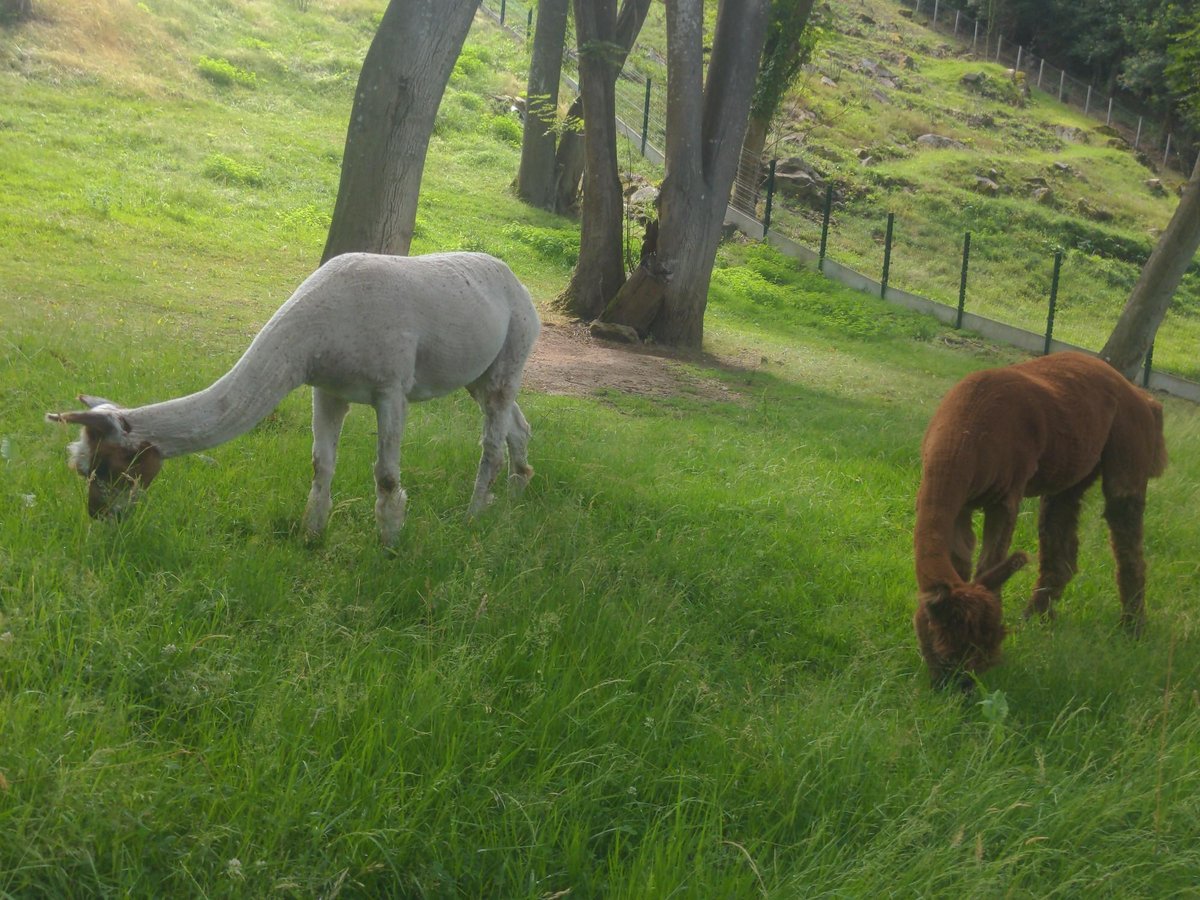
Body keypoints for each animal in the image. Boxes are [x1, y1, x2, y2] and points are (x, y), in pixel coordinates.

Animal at [47, 252, 541, 546]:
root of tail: (519, 284)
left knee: (491, 443)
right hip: (479, 374)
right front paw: (312, 536)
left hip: (511, 353)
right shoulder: (328, 388)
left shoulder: (391, 387)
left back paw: (474, 516)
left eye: (108, 467)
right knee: (518, 425)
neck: (316, 332)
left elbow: (385, 476)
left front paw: (389, 543)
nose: (98, 516)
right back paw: (517, 490)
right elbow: (321, 464)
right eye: (84, 469)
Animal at [912, 351, 1167, 689]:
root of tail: (1141, 396)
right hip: (1074, 470)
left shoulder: (1006, 496)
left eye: (985, 647)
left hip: (1128, 445)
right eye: (945, 649)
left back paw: (1132, 629)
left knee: (1127, 541)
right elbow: (961, 560)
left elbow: (989, 562)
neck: (965, 436)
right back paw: (1036, 619)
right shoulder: (961, 506)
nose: (962, 687)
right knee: (1061, 546)